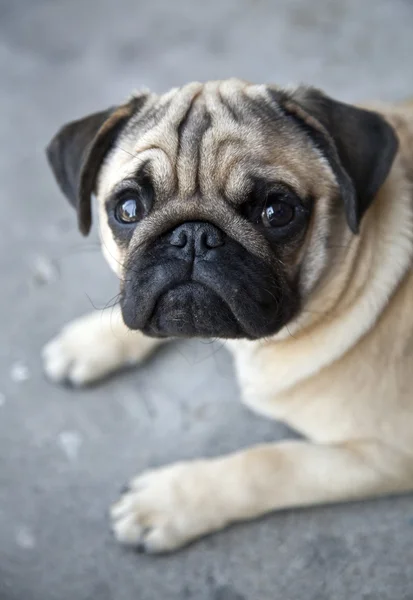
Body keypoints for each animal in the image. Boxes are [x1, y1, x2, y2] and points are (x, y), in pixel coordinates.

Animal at [42, 78, 412, 552]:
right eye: (127, 209)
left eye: (277, 212)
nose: (192, 236)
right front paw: (91, 341)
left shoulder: (389, 453)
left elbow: (271, 463)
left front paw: (169, 502)